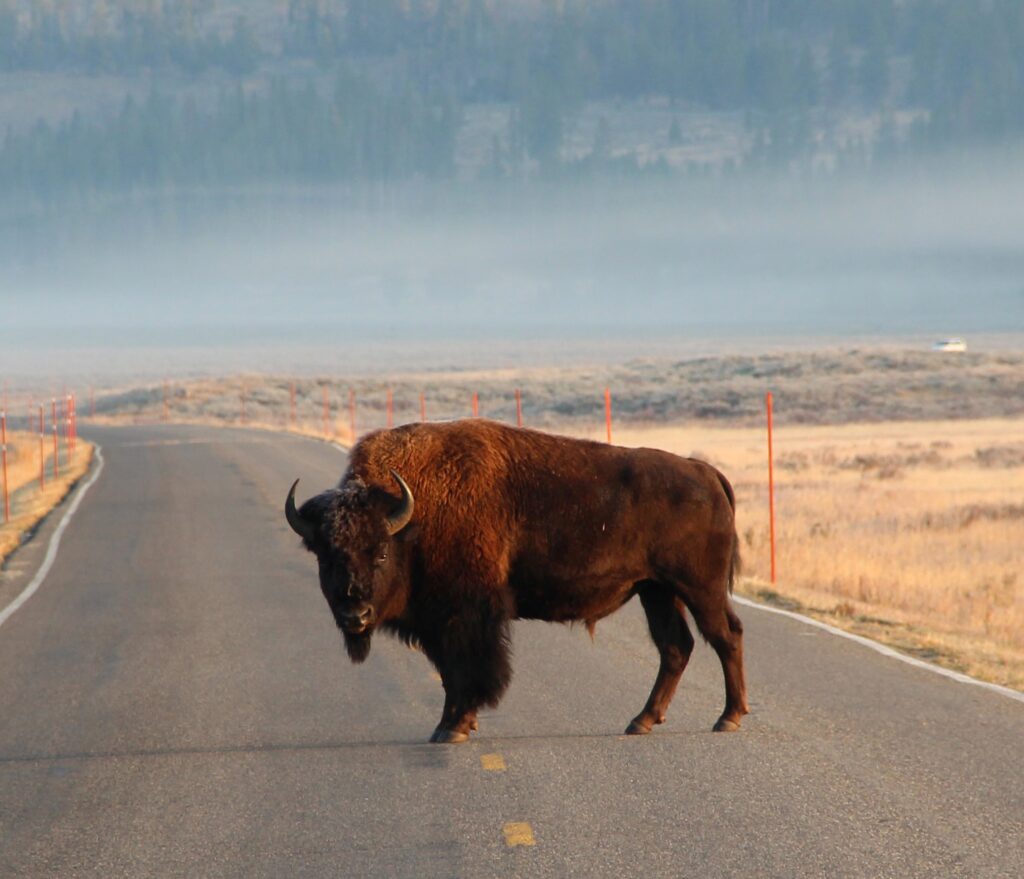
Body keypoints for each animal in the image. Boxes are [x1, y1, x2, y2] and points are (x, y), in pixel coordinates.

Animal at [286, 419, 748, 743]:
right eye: (326, 557)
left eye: (380, 552)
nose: (356, 615)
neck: (413, 519)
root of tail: (705, 472)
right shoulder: (438, 623)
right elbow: (450, 672)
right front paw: (452, 724)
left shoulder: (465, 617)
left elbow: (466, 670)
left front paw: (453, 727)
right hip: (656, 591)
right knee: (676, 647)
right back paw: (641, 721)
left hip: (698, 588)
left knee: (726, 635)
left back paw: (728, 718)